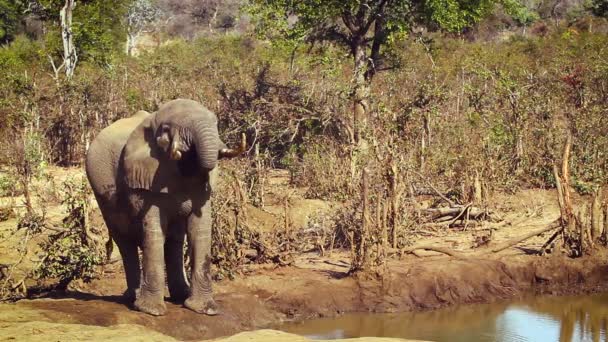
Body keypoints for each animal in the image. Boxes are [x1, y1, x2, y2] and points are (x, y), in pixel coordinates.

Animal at [85, 98, 242, 316]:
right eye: (167, 129)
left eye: (216, 123)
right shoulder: (148, 178)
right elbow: (154, 231)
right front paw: (152, 311)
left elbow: (199, 230)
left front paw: (206, 310)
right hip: (101, 192)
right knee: (124, 240)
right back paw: (133, 298)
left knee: (174, 240)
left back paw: (179, 295)